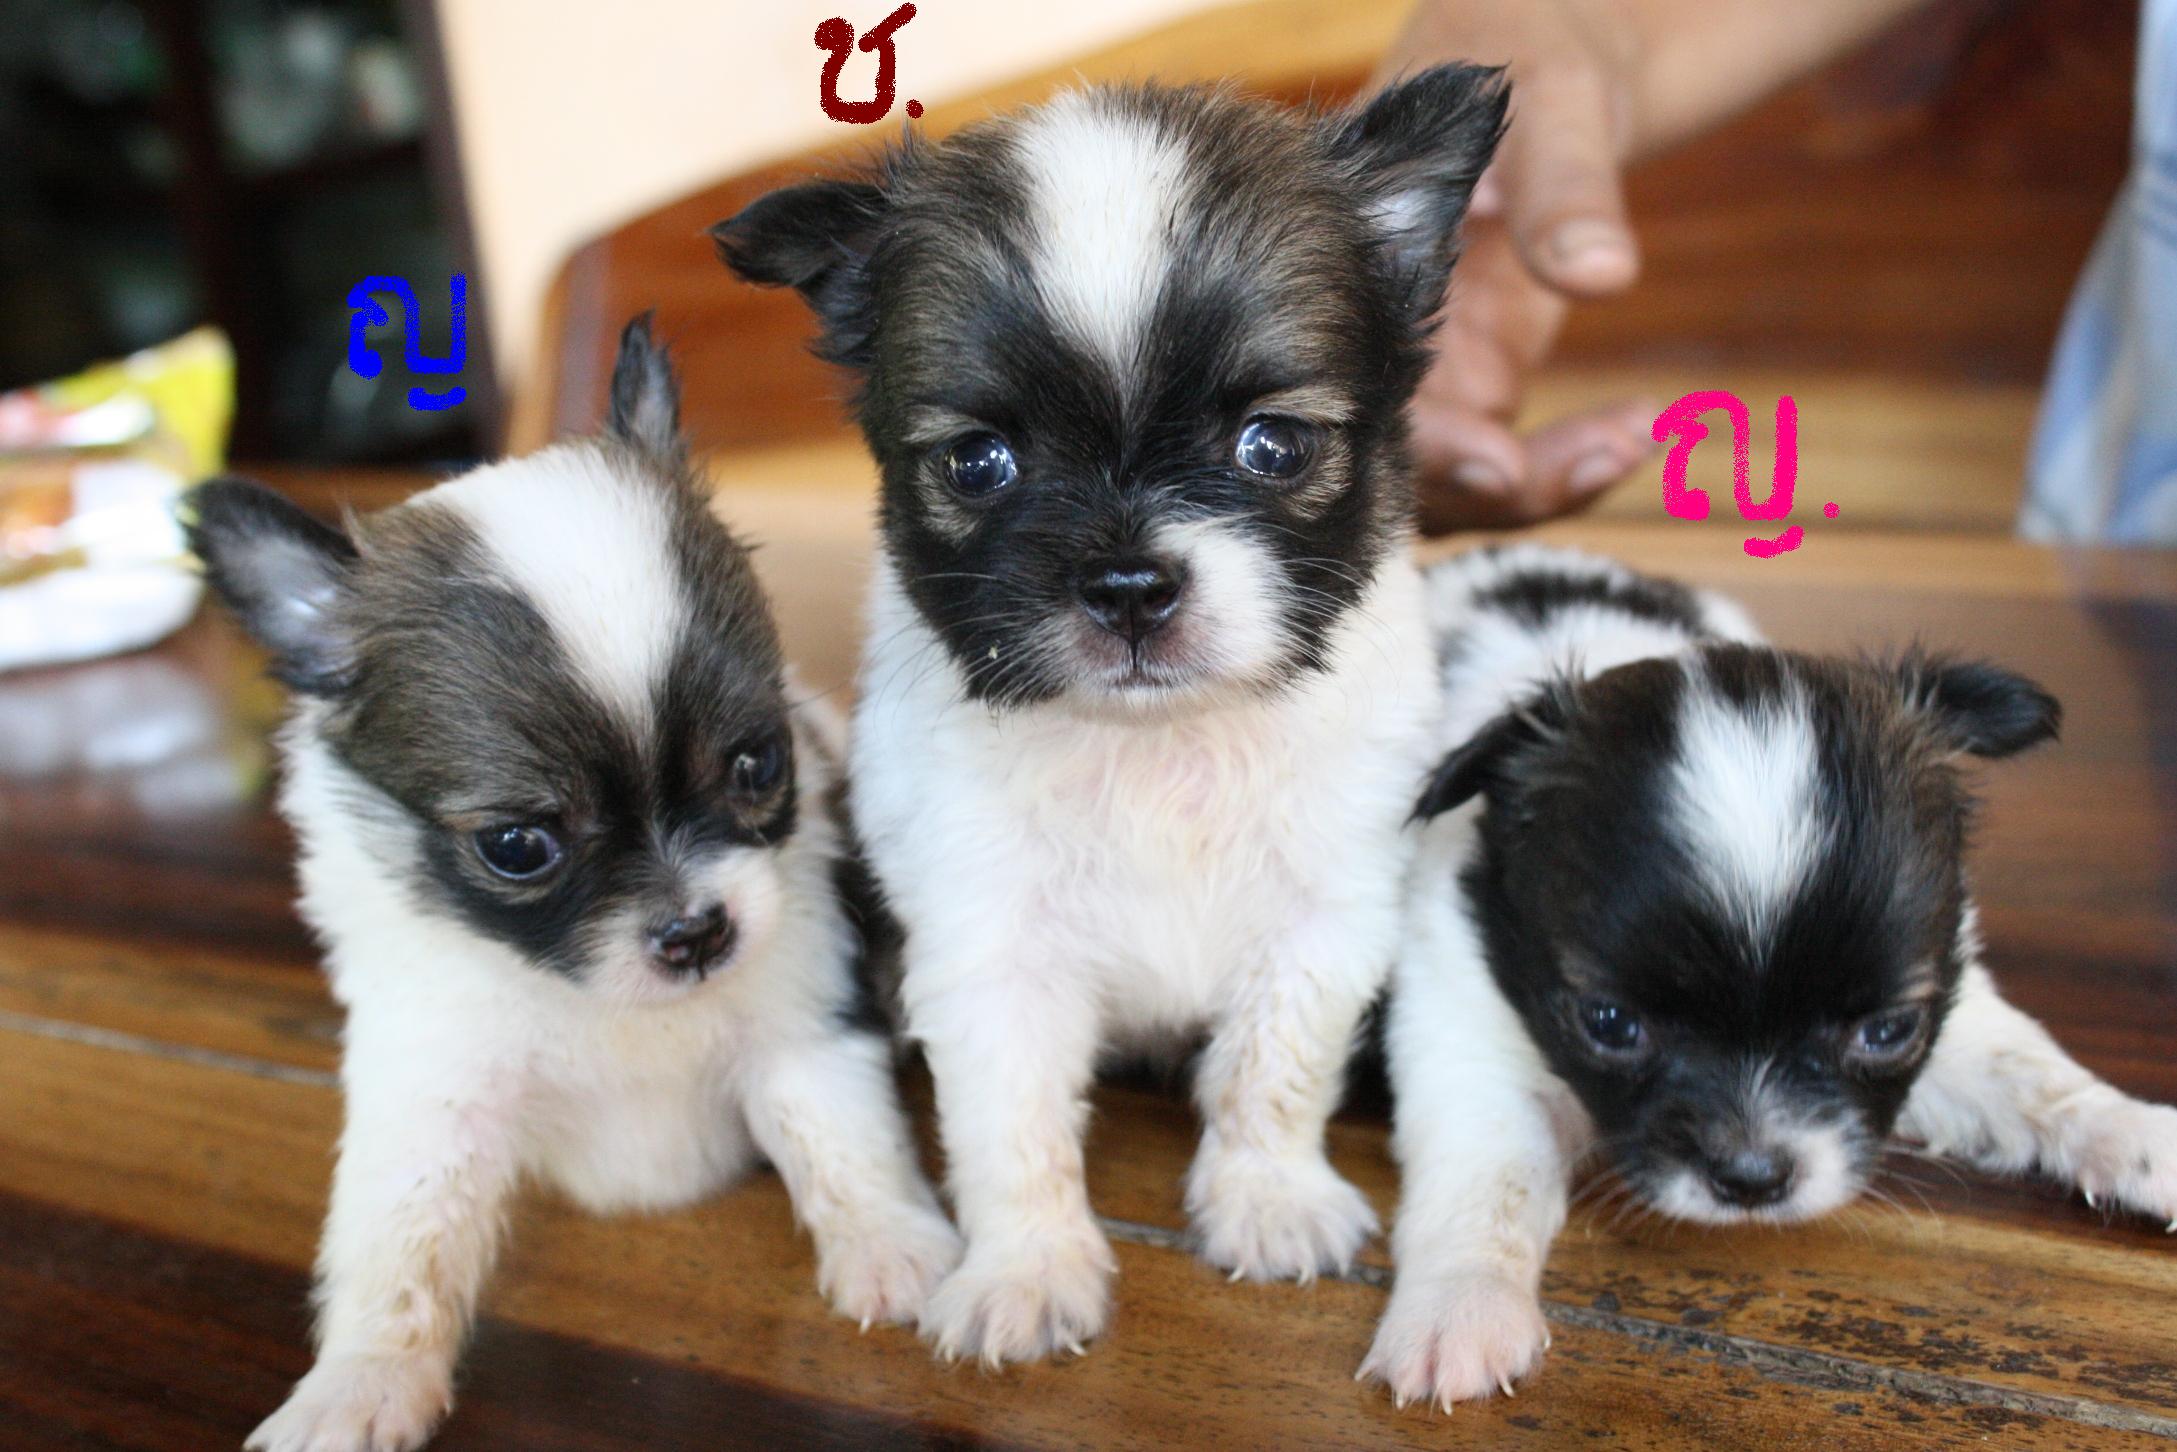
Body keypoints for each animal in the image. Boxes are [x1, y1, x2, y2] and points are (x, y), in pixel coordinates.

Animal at [187, 317, 960, 1451]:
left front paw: (891, 1247)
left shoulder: (801, 1027)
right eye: (517, 846)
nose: (696, 932)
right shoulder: (434, 1093)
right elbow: (400, 1244)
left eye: (757, 766)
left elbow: (841, 1140)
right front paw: (362, 1380)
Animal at [713, 66, 1507, 1363]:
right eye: (977, 463)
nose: (1129, 584)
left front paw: (1265, 1197)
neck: (1155, 749)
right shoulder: (988, 943)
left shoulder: (1322, 915)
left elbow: (1270, 1065)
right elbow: (1012, 1126)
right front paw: (1026, 1271)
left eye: (1272, 444)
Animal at [1363, 543, 2177, 1409]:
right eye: (1609, 1025)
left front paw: (2136, 1135)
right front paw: (1459, 1307)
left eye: (1887, 1031)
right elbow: (1488, 1176)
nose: (1751, 1178)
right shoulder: (1465, 1025)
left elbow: (2025, 1071)